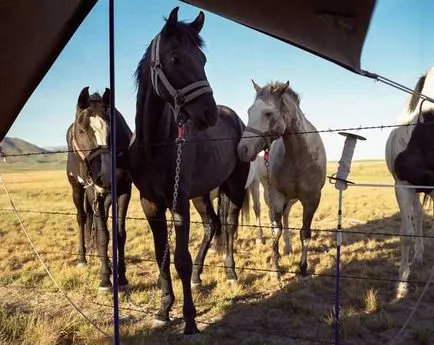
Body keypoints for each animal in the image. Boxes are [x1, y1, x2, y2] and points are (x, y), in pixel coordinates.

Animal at [66, 86, 132, 290]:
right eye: (81, 130)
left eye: (113, 129)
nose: (105, 176)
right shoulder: (92, 190)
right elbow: (103, 235)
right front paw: (105, 278)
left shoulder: (124, 190)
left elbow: (119, 234)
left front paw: (122, 277)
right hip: (78, 189)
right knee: (82, 217)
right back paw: (83, 257)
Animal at [127, 6, 249, 334]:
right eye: (174, 58)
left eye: (203, 60)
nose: (208, 114)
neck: (156, 144)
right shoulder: (151, 204)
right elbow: (161, 254)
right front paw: (163, 309)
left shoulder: (178, 202)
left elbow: (180, 257)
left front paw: (190, 319)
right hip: (201, 194)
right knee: (212, 226)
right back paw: (197, 276)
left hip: (234, 187)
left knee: (228, 227)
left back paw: (230, 274)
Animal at [237, 79, 326, 276]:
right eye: (249, 111)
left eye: (268, 113)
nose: (242, 150)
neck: (298, 156)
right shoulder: (277, 196)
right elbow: (275, 229)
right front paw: (275, 266)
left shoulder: (312, 199)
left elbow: (305, 233)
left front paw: (303, 267)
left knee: (286, 216)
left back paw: (288, 247)